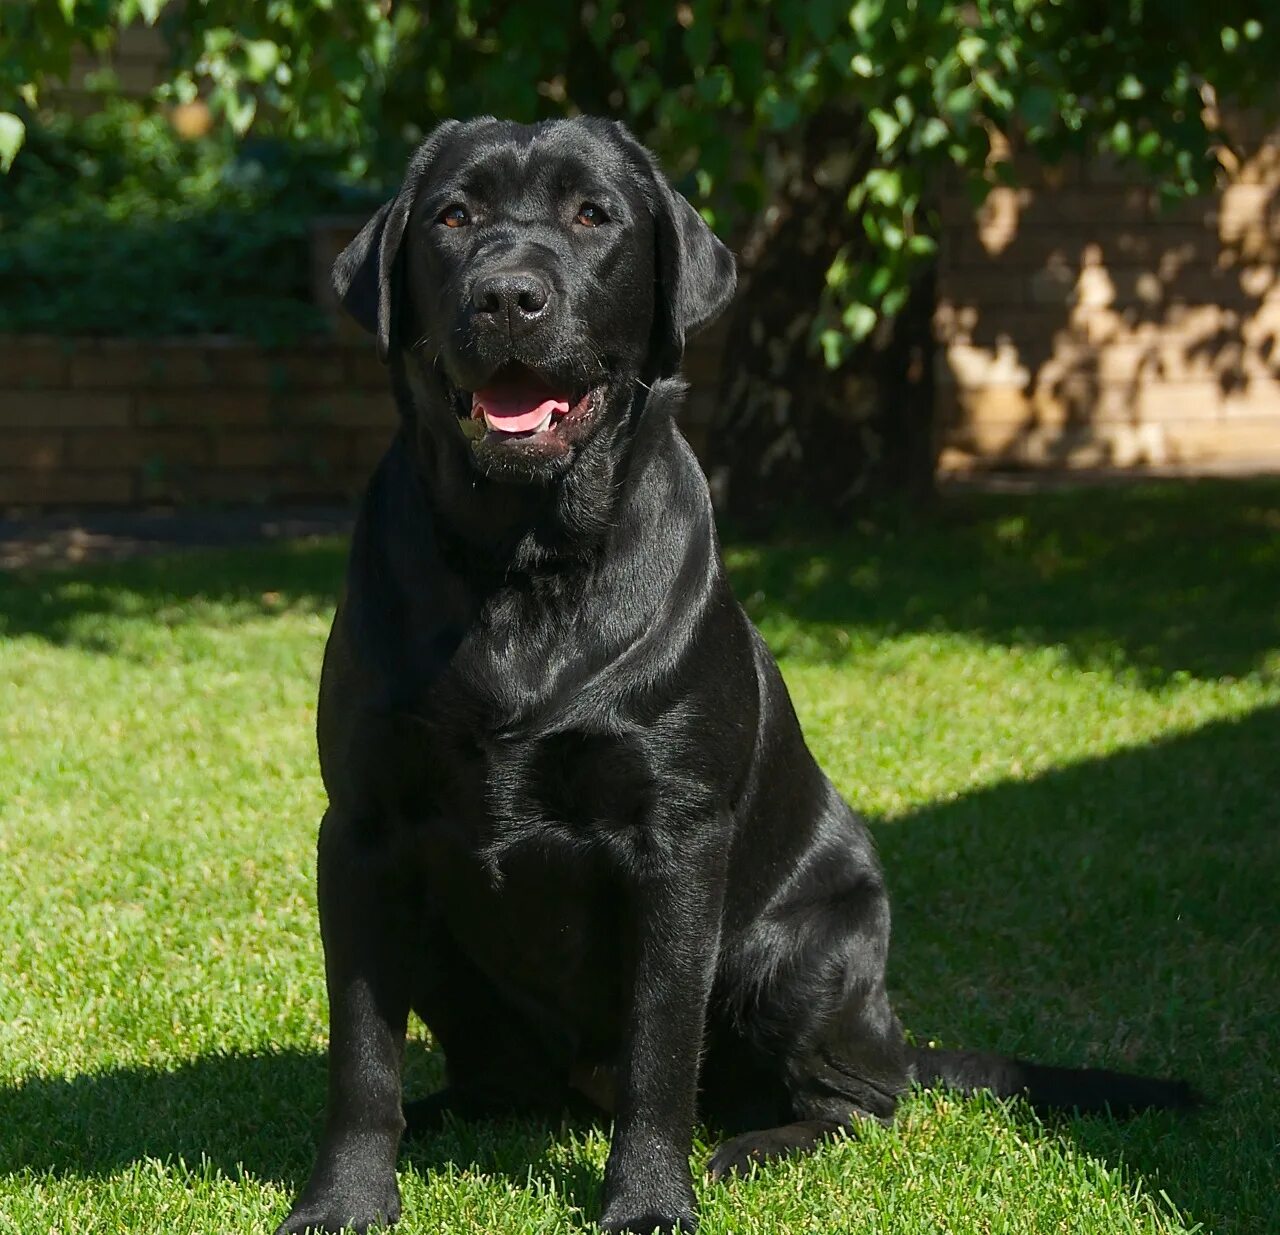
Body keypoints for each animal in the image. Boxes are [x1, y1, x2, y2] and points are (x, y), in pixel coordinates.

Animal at [277, 118, 1187, 1233]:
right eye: (452, 216)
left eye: (593, 215)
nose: (506, 295)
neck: (522, 564)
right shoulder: (363, 833)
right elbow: (363, 1053)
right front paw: (346, 1198)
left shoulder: (676, 841)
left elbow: (662, 1051)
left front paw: (648, 1201)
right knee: (501, 1080)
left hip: (797, 951)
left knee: (858, 1102)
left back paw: (755, 1147)